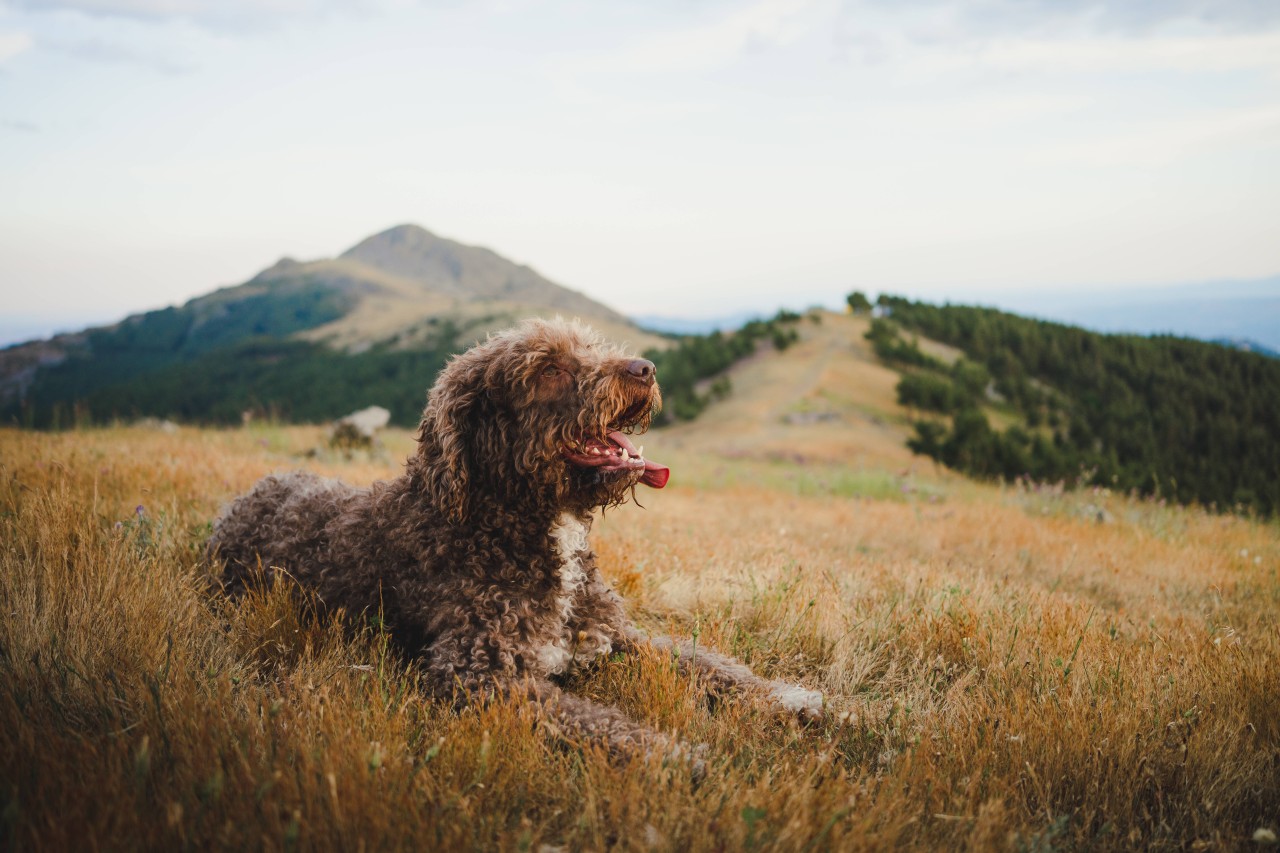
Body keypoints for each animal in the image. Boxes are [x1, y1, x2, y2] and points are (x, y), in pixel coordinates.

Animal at [206, 317, 824, 758]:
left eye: (590, 347)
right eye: (547, 369)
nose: (645, 368)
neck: (515, 525)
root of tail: (245, 497)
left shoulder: (616, 635)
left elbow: (707, 662)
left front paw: (787, 697)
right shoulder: (479, 674)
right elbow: (600, 722)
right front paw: (679, 758)